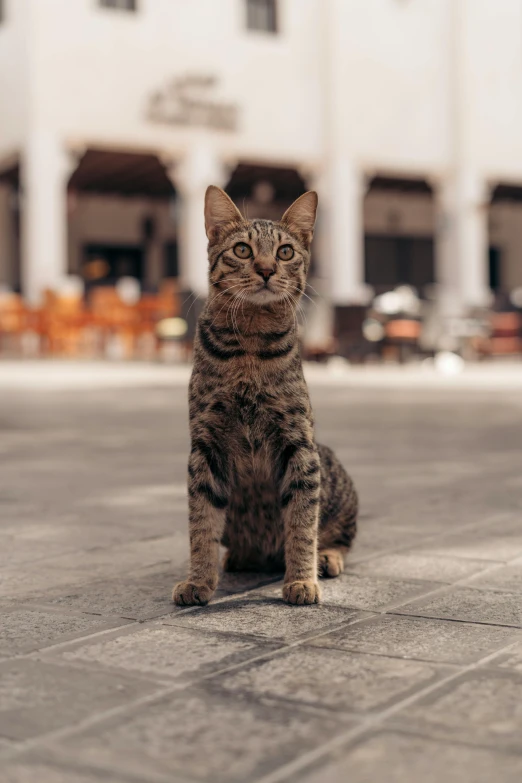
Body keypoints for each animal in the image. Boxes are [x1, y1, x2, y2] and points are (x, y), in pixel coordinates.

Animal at [173, 185, 356, 608]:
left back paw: (326, 558)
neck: (250, 346)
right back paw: (239, 557)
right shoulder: (204, 448)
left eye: (285, 252)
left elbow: (302, 522)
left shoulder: (299, 444)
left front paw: (302, 579)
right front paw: (199, 580)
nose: (267, 268)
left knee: (340, 537)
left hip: (333, 475)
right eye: (242, 249)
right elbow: (201, 524)